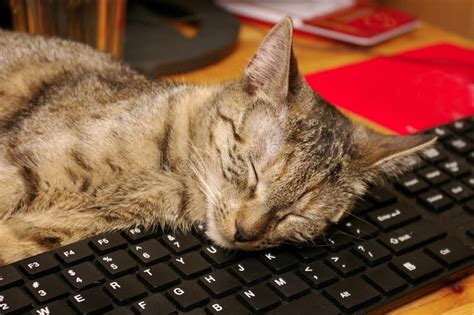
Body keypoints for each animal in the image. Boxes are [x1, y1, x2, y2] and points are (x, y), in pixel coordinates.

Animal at [0, 18, 436, 266]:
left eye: (298, 214)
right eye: (255, 170)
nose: (246, 233)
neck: (171, 176)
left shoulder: (47, 232)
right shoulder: (19, 167)